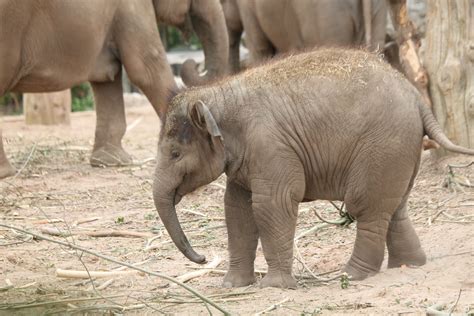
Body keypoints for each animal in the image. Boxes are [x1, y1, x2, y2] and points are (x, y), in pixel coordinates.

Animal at [0, 0, 230, 178]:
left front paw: (111, 162)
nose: (192, 62)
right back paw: (6, 173)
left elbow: (107, 78)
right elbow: (147, 66)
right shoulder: (132, 8)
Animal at [153, 48, 474, 288]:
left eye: (175, 153)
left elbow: (273, 204)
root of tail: (417, 98)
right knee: (395, 207)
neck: (217, 94)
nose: (203, 258)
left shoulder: (271, 146)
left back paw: (352, 275)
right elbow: (236, 210)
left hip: (383, 147)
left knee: (366, 208)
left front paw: (274, 287)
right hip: (400, 151)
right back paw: (408, 265)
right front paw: (233, 286)